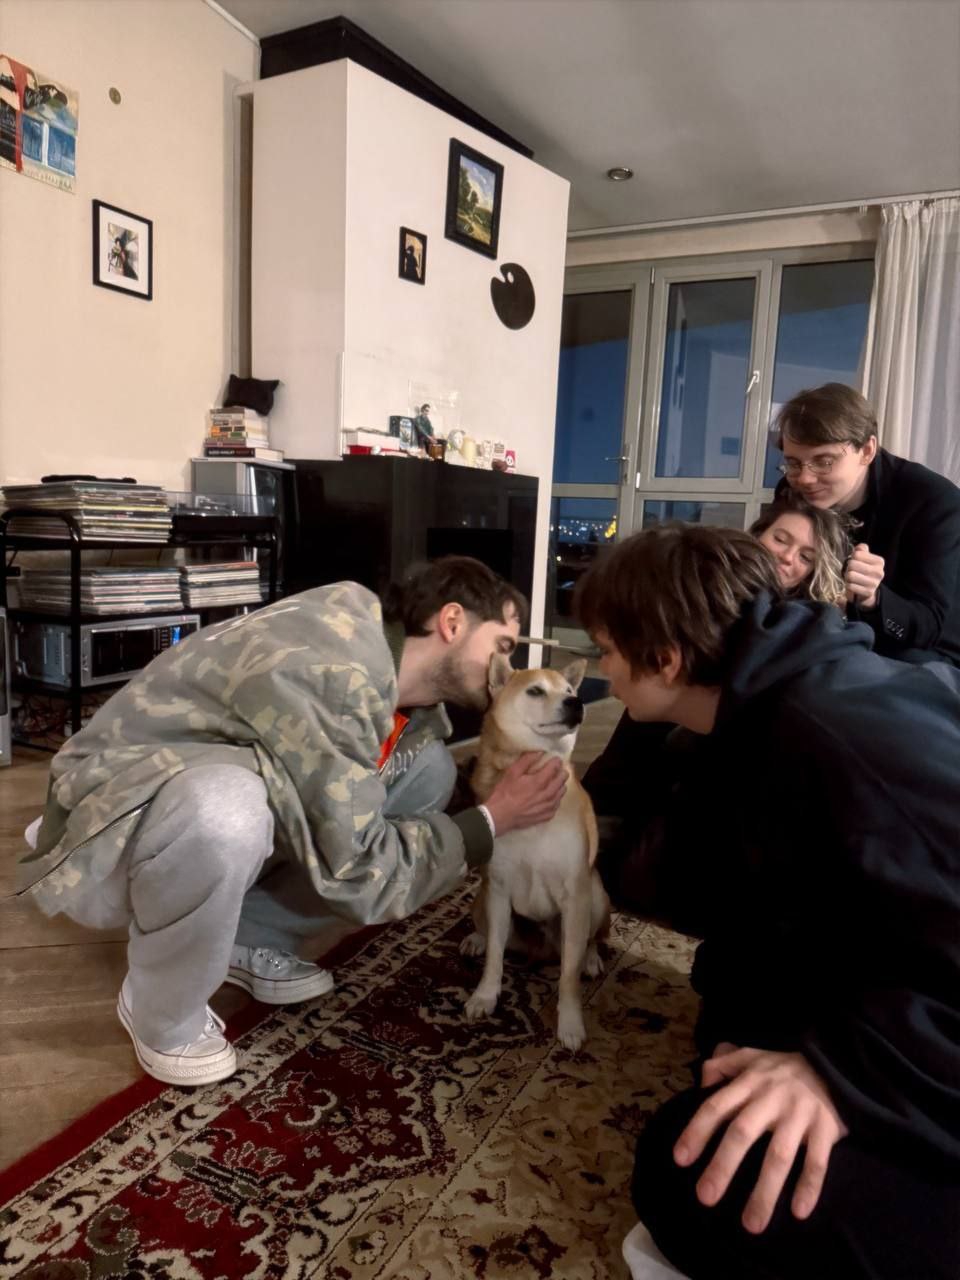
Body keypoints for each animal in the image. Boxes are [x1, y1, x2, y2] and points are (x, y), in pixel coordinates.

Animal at [461, 655, 610, 1050]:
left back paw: (591, 959)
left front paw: (570, 1023)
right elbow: (495, 957)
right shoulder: (498, 889)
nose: (577, 702)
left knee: (592, 938)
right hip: (482, 899)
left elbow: (568, 977)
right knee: (489, 934)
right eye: (535, 691)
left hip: (596, 897)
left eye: (570, 689)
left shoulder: (575, 894)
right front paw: (485, 995)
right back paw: (475, 939)